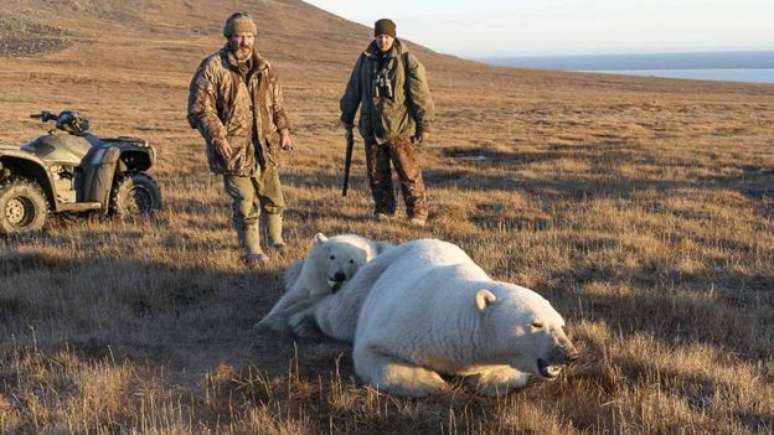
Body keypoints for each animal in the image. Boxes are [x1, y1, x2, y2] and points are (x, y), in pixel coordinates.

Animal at [260, 235, 394, 334]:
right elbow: (291, 296)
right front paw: (264, 320)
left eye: (351, 260)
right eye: (332, 257)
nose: (340, 275)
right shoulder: (310, 278)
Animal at [292, 238, 584, 398]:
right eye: (536, 324)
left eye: (561, 324)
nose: (570, 354)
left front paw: (489, 381)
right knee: (337, 313)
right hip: (373, 276)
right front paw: (431, 382)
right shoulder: (407, 321)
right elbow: (372, 353)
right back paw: (300, 320)